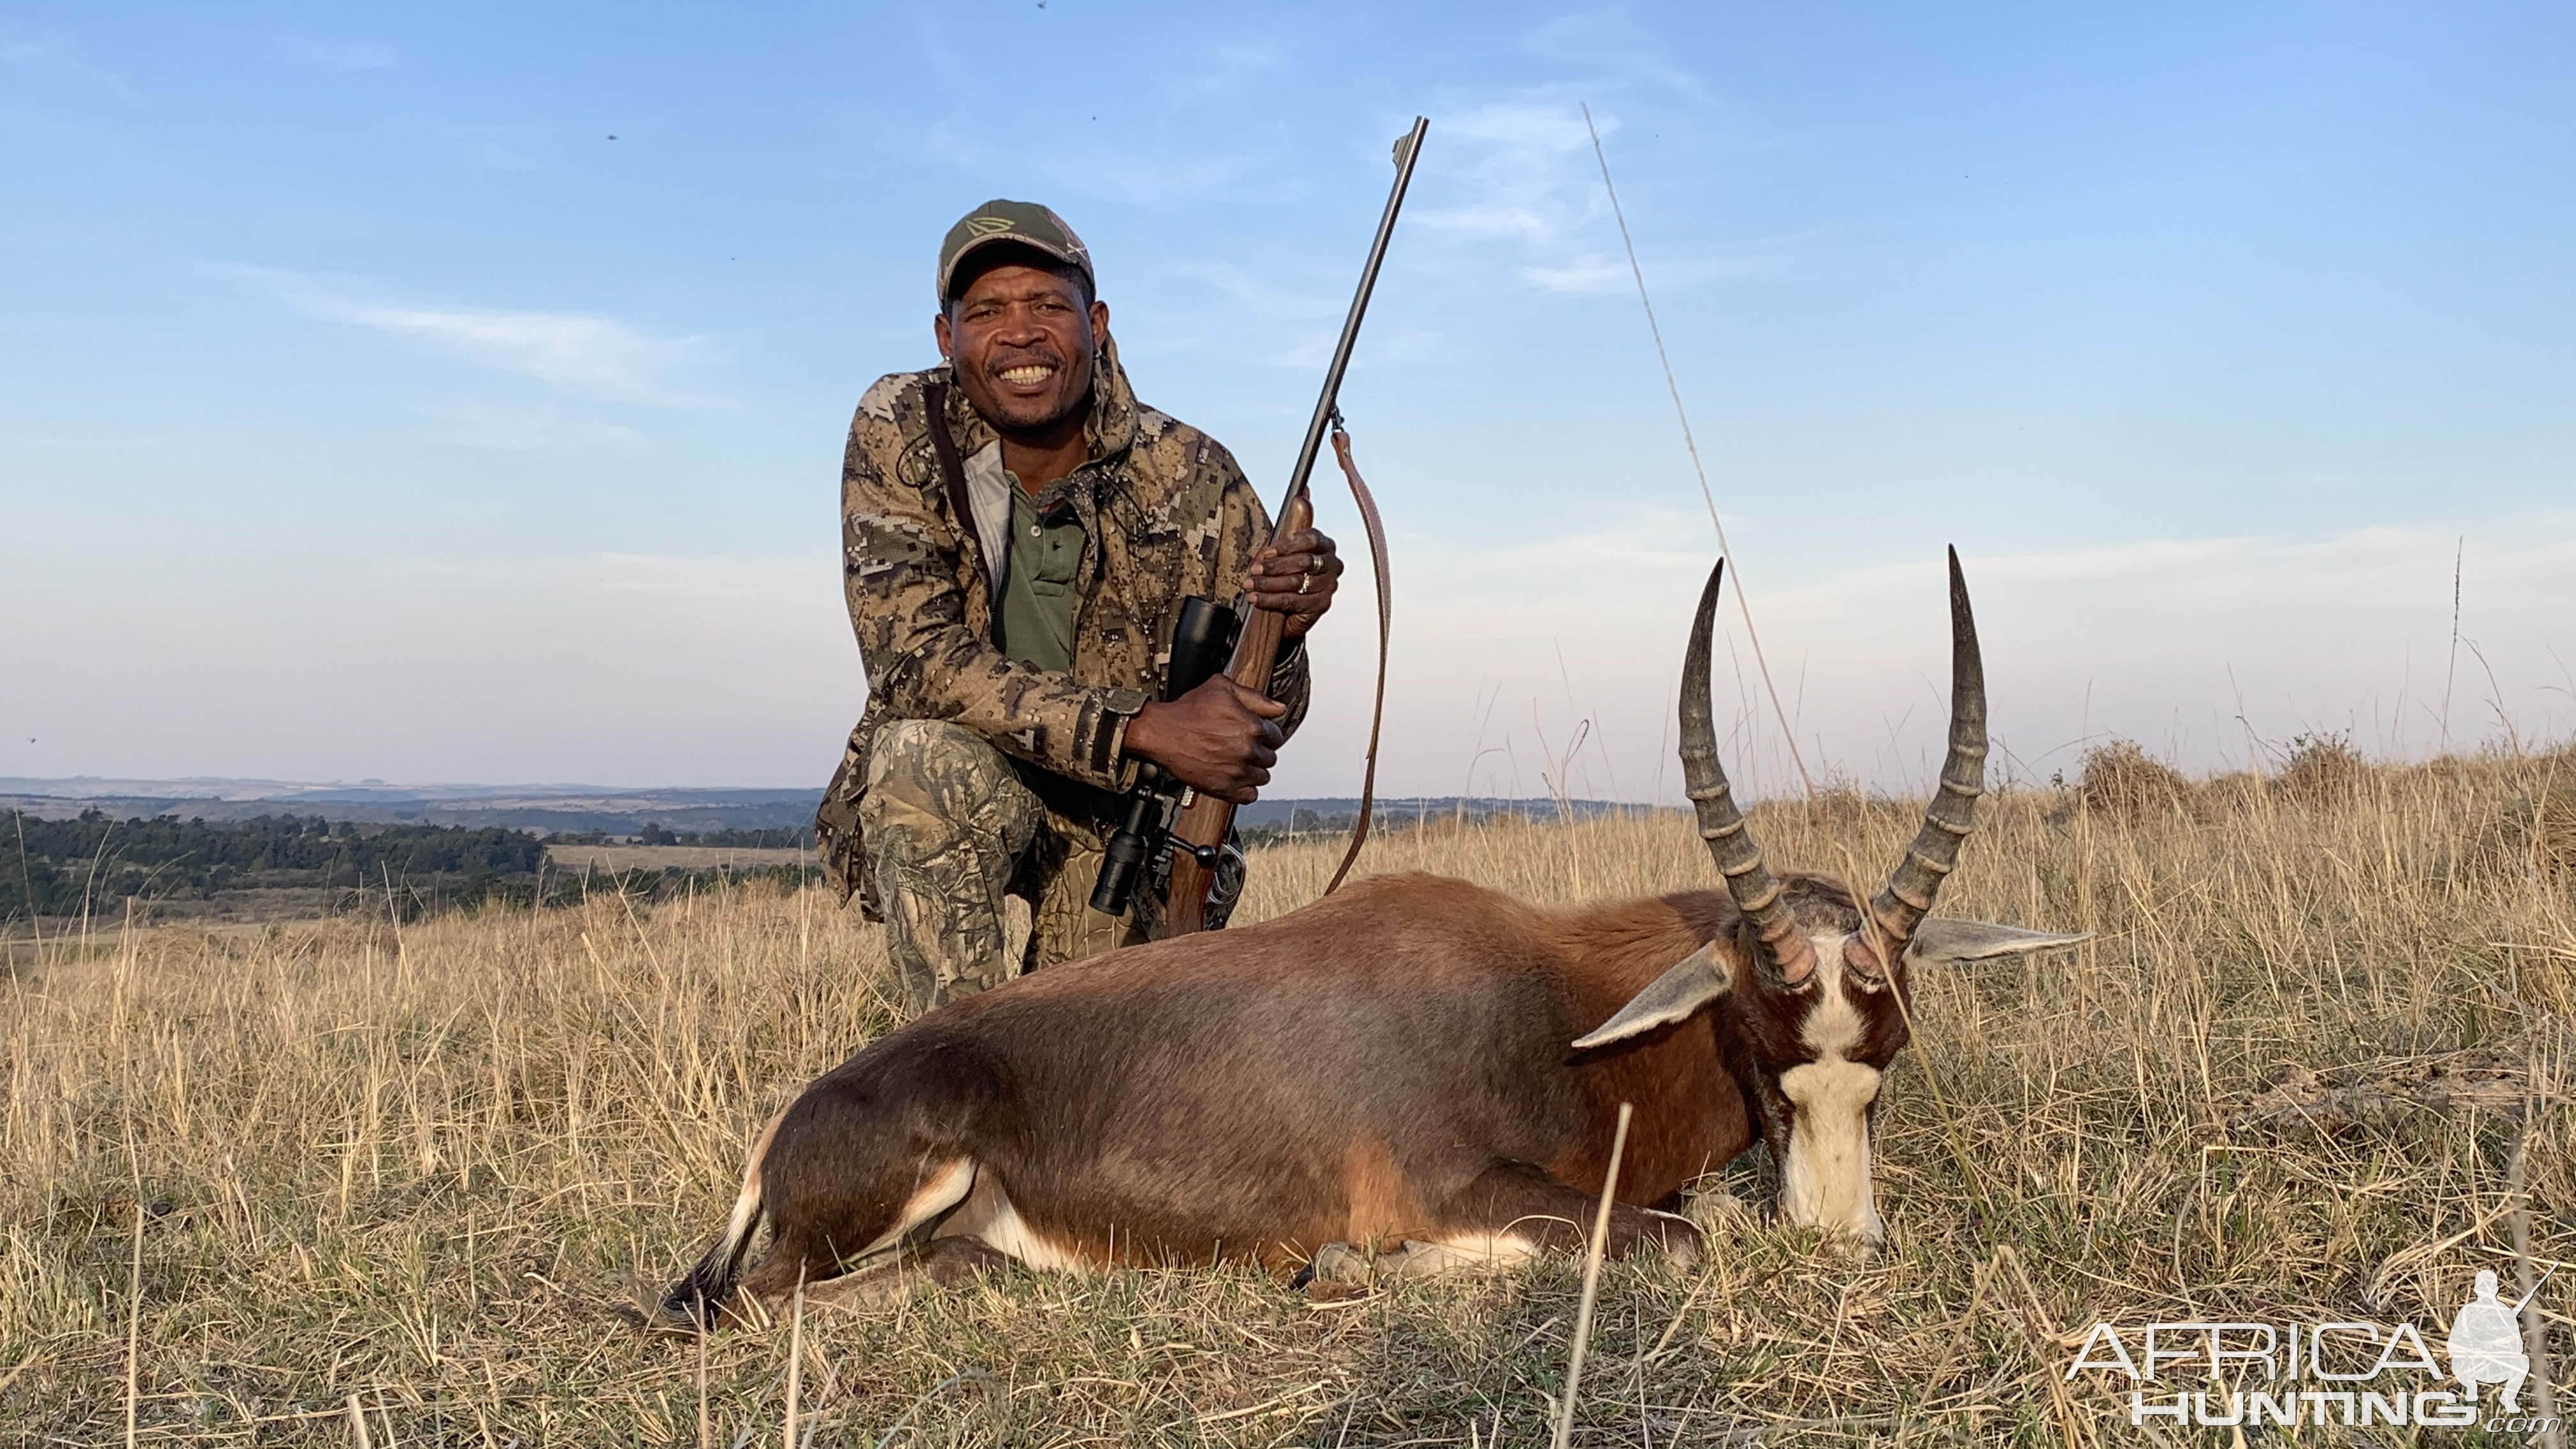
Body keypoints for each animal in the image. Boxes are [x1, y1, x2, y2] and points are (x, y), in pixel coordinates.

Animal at [659, 551, 2071, 1320]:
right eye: (1764, 1043)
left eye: (1887, 1054)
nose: (1843, 1244)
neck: (1551, 1004)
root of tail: (787, 1128)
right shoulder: (1458, 1187)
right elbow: (1675, 1235)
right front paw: (1343, 1268)